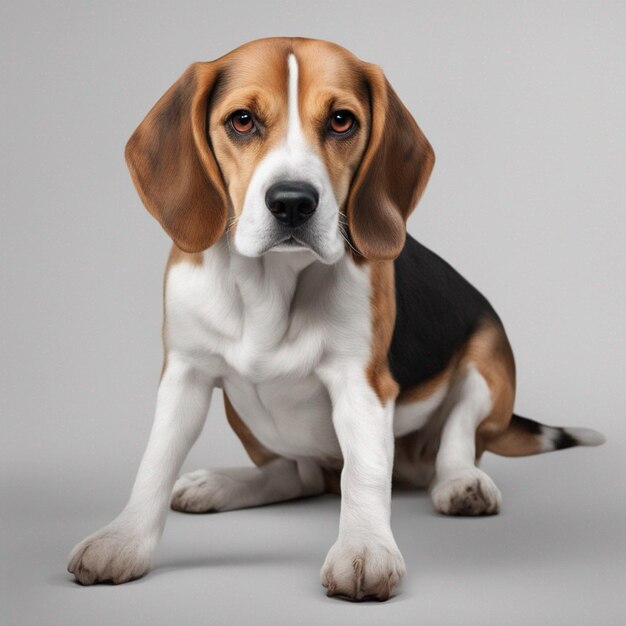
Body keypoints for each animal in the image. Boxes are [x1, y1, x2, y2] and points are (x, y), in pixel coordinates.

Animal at [66, 37, 604, 600]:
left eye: (342, 121)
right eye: (242, 121)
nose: (292, 202)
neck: (270, 286)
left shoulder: (361, 383)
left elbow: (363, 471)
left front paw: (364, 549)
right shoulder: (184, 373)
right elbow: (155, 462)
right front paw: (123, 541)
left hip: (490, 359)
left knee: (453, 437)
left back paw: (460, 483)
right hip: (247, 414)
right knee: (297, 475)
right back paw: (219, 484)